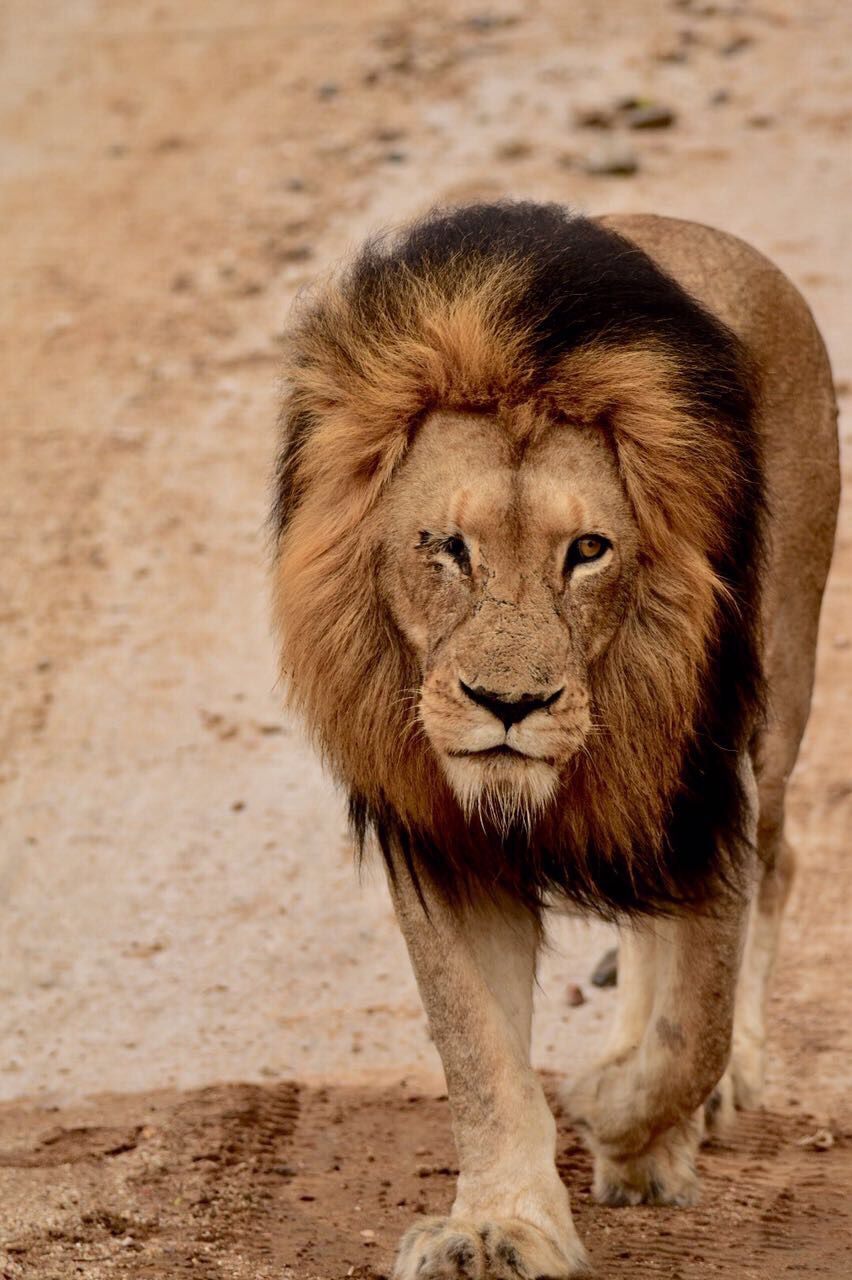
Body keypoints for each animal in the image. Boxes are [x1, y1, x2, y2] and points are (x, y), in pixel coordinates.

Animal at [271, 202, 839, 1277]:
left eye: (588, 551)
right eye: (447, 548)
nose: (509, 703)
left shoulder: (707, 780)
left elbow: (693, 1023)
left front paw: (619, 1120)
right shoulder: (440, 835)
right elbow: (479, 1051)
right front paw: (501, 1223)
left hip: (776, 700)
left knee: (773, 873)